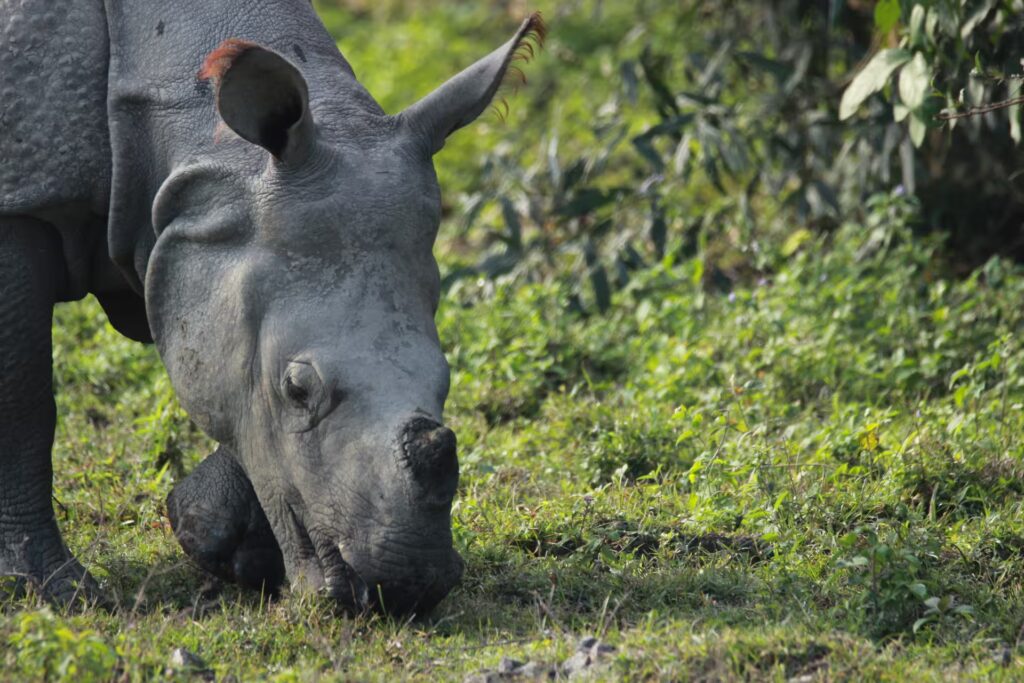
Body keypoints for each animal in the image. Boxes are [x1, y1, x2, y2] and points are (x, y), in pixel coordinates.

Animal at [0, 0, 543, 615]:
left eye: (447, 377)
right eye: (297, 390)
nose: (407, 588)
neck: (195, 141)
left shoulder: (208, 228)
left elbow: (238, 404)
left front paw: (217, 541)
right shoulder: (22, 202)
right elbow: (22, 401)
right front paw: (52, 591)